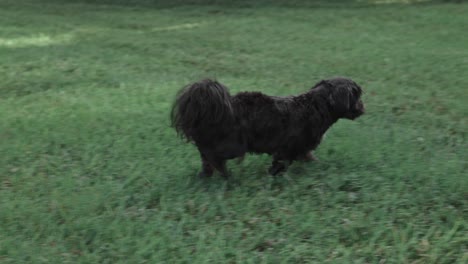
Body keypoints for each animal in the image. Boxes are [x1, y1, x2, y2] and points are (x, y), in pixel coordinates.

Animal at [172, 77, 366, 178]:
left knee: (206, 159)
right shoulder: (287, 148)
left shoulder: (301, 148)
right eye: (356, 95)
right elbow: (282, 162)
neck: (316, 105)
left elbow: (308, 157)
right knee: (213, 156)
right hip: (232, 145)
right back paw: (225, 174)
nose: (363, 106)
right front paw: (274, 174)